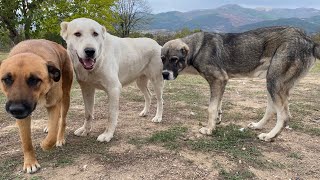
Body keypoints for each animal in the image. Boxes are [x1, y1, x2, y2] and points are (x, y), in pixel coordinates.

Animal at [0, 39, 73, 173]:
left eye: (34, 79)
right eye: (7, 79)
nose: (16, 109)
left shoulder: (54, 104)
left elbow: (52, 135)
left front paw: (45, 144)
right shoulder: (23, 116)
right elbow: (26, 141)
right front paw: (30, 162)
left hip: (65, 95)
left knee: (62, 120)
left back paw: (60, 138)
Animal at [162, 27, 320, 142]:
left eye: (174, 59)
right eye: (162, 59)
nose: (164, 74)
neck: (198, 48)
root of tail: (310, 42)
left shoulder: (218, 79)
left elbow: (211, 108)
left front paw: (209, 129)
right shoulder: (221, 82)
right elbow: (218, 105)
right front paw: (217, 120)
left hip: (274, 82)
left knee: (284, 116)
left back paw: (270, 136)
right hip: (272, 83)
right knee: (271, 109)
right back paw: (258, 126)